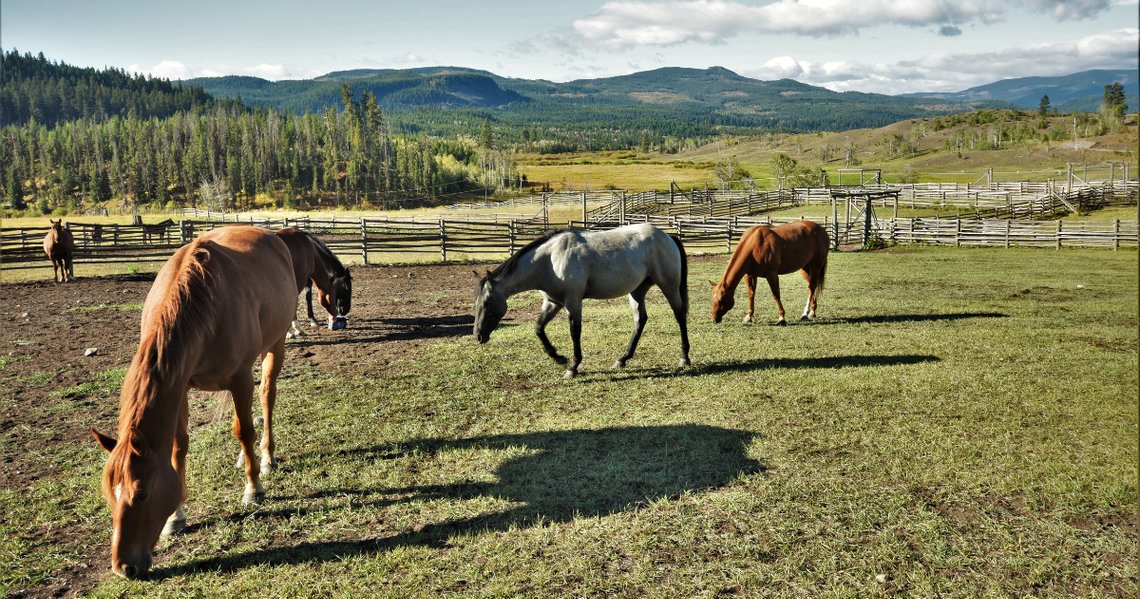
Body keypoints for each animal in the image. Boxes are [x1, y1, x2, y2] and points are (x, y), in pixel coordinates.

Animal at [90, 225, 298, 579]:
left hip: (275, 346)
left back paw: (266, 457)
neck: (203, 303)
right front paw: (176, 517)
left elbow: (244, 430)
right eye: (109, 495)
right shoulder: (181, 385)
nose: (123, 568)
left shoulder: (241, 378)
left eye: (141, 494)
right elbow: (178, 446)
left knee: (266, 397)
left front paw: (254, 488)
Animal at [474, 223, 690, 379]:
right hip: (637, 291)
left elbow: (574, 331)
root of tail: (667, 236)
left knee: (679, 316)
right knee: (640, 320)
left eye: (487, 302)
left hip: (669, 287)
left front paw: (573, 366)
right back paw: (622, 359)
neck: (551, 259)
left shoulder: (573, 301)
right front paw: (558, 357)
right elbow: (539, 328)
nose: (478, 335)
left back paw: (684, 358)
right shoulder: (552, 302)